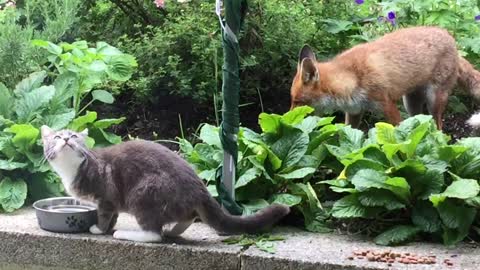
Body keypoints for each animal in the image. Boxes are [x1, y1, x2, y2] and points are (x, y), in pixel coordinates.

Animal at [41, 126, 288, 243]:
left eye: (74, 136)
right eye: (57, 137)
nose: (66, 139)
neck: (71, 168)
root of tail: (199, 186)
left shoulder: (106, 196)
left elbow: (104, 215)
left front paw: (100, 230)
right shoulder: (111, 201)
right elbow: (113, 216)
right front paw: (108, 227)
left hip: (144, 194)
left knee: (153, 234)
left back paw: (125, 234)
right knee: (187, 217)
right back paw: (173, 231)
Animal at [288, 26, 480, 130]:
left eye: (298, 102)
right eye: (292, 100)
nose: (288, 120)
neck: (352, 78)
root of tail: (451, 39)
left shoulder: (387, 105)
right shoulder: (354, 111)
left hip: (434, 100)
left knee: (439, 128)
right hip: (410, 102)